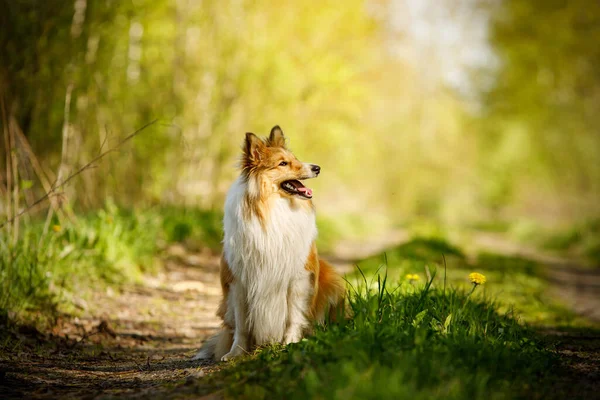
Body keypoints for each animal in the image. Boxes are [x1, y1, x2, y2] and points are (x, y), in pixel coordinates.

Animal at [196, 126, 346, 362]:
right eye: (283, 163)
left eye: (296, 159)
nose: (317, 168)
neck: (272, 207)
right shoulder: (239, 281)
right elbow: (242, 326)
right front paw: (236, 353)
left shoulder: (299, 277)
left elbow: (294, 316)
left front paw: (290, 345)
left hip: (333, 281)